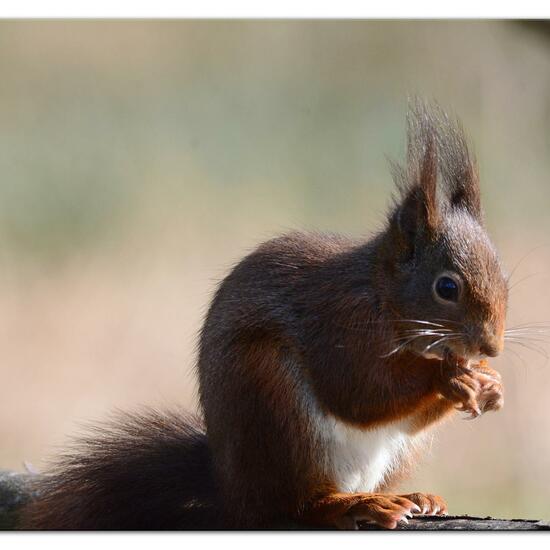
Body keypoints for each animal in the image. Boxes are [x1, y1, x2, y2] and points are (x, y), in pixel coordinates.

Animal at [18, 99, 508, 532]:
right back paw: (353, 504)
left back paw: (411, 496)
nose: (492, 347)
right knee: (299, 502)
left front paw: (488, 383)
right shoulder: (341, 325)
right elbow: (358, 391)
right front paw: (447, 377)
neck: (381, 294)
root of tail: (232, 490)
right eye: (446, 288)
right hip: (272, 400)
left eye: (503, 274)